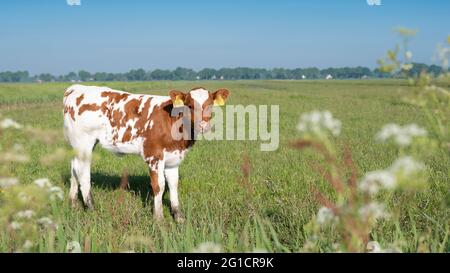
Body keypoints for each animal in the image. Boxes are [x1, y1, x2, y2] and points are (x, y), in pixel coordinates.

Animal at [63, 84, 230, 221]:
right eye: (189, 105)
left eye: (210, 105)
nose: (203, 125)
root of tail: (76, 88)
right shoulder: (154, 156)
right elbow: (159, 186)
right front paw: (159, 218)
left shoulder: (173, 158)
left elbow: (173, 185)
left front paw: (178, 217)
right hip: (84, 141)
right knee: (83, 172)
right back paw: (92, 208)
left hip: (79, 144)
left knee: (74, 168)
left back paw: (73, 204)